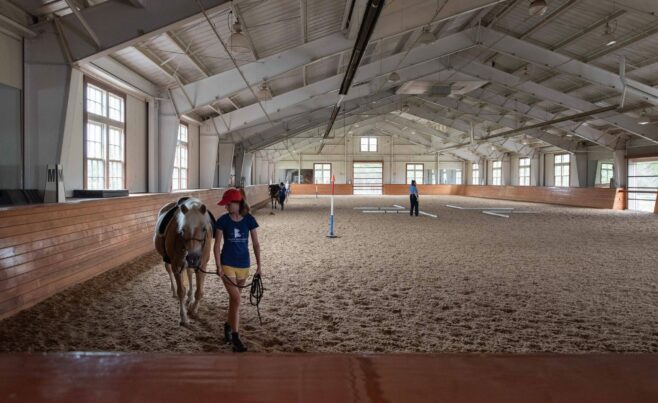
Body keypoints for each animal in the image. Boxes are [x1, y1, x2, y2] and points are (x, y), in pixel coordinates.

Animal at [153, 197, 213, 326]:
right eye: (183, 229)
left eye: (204, 229)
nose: (193, 257)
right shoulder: (177, 266)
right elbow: (181, 292)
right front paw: (184, 317)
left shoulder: (202, 266)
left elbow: (199, 292)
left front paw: (193, 309)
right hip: (168, 261)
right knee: (169, 271)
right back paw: (174, 291)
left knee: (189, 274)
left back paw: (190, 297)